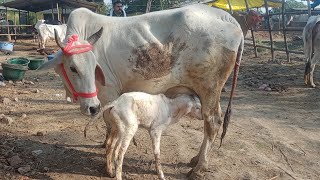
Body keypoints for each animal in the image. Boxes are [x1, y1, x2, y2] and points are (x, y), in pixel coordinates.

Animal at [38, 4, 242, 179]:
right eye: (72, 68)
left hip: (209, 88)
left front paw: (109, 164)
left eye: (95, 65)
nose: (92, 107)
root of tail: (227, 17)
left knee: (213, 122)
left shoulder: (108, 93)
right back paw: (196, 160)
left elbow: (110, 127)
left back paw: (199, 169)